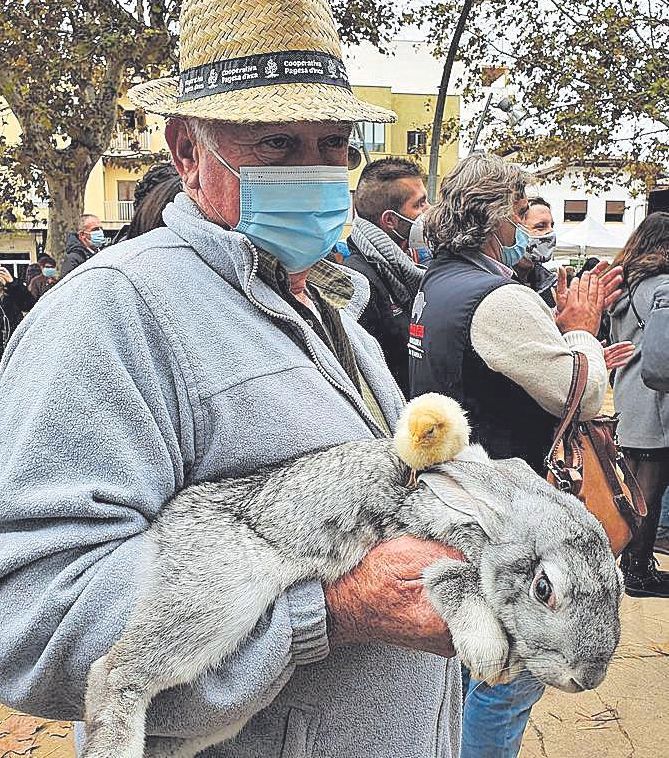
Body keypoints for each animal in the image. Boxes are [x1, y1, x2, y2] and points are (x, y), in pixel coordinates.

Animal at [82, 394, 620, 756]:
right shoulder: (423, 539)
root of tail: (167, 526)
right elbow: (455, 579)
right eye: (544, 589)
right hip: (215, 598)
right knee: (113, 672)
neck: (481, 516)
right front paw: (489, 654)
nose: (588, 678)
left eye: (615, 584)